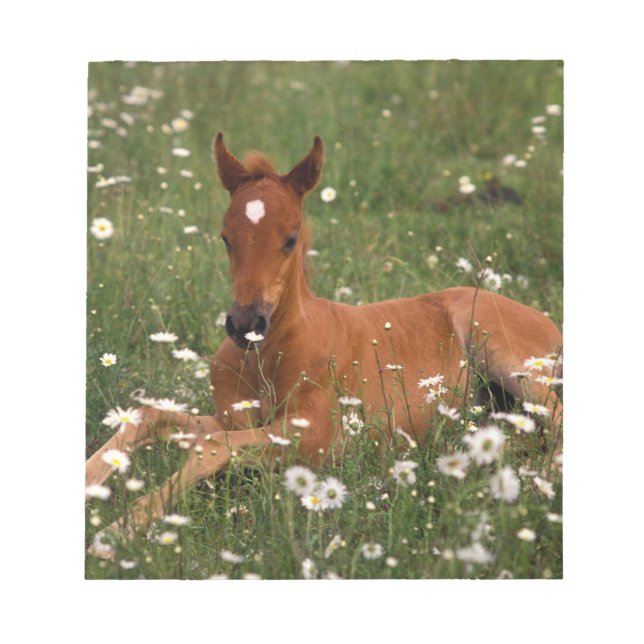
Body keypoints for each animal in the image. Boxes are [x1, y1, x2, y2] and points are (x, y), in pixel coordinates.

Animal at [86, 133, 562, 555]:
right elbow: (152, 418)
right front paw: (91, 479)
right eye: (225, 237)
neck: (267, 356)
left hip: (506, 356)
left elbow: (214, 447)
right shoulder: (231, 418)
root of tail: (548, 322)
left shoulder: (313, 437)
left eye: (291, 238)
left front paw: (117, 531)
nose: (245, 325)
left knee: (555, 427)